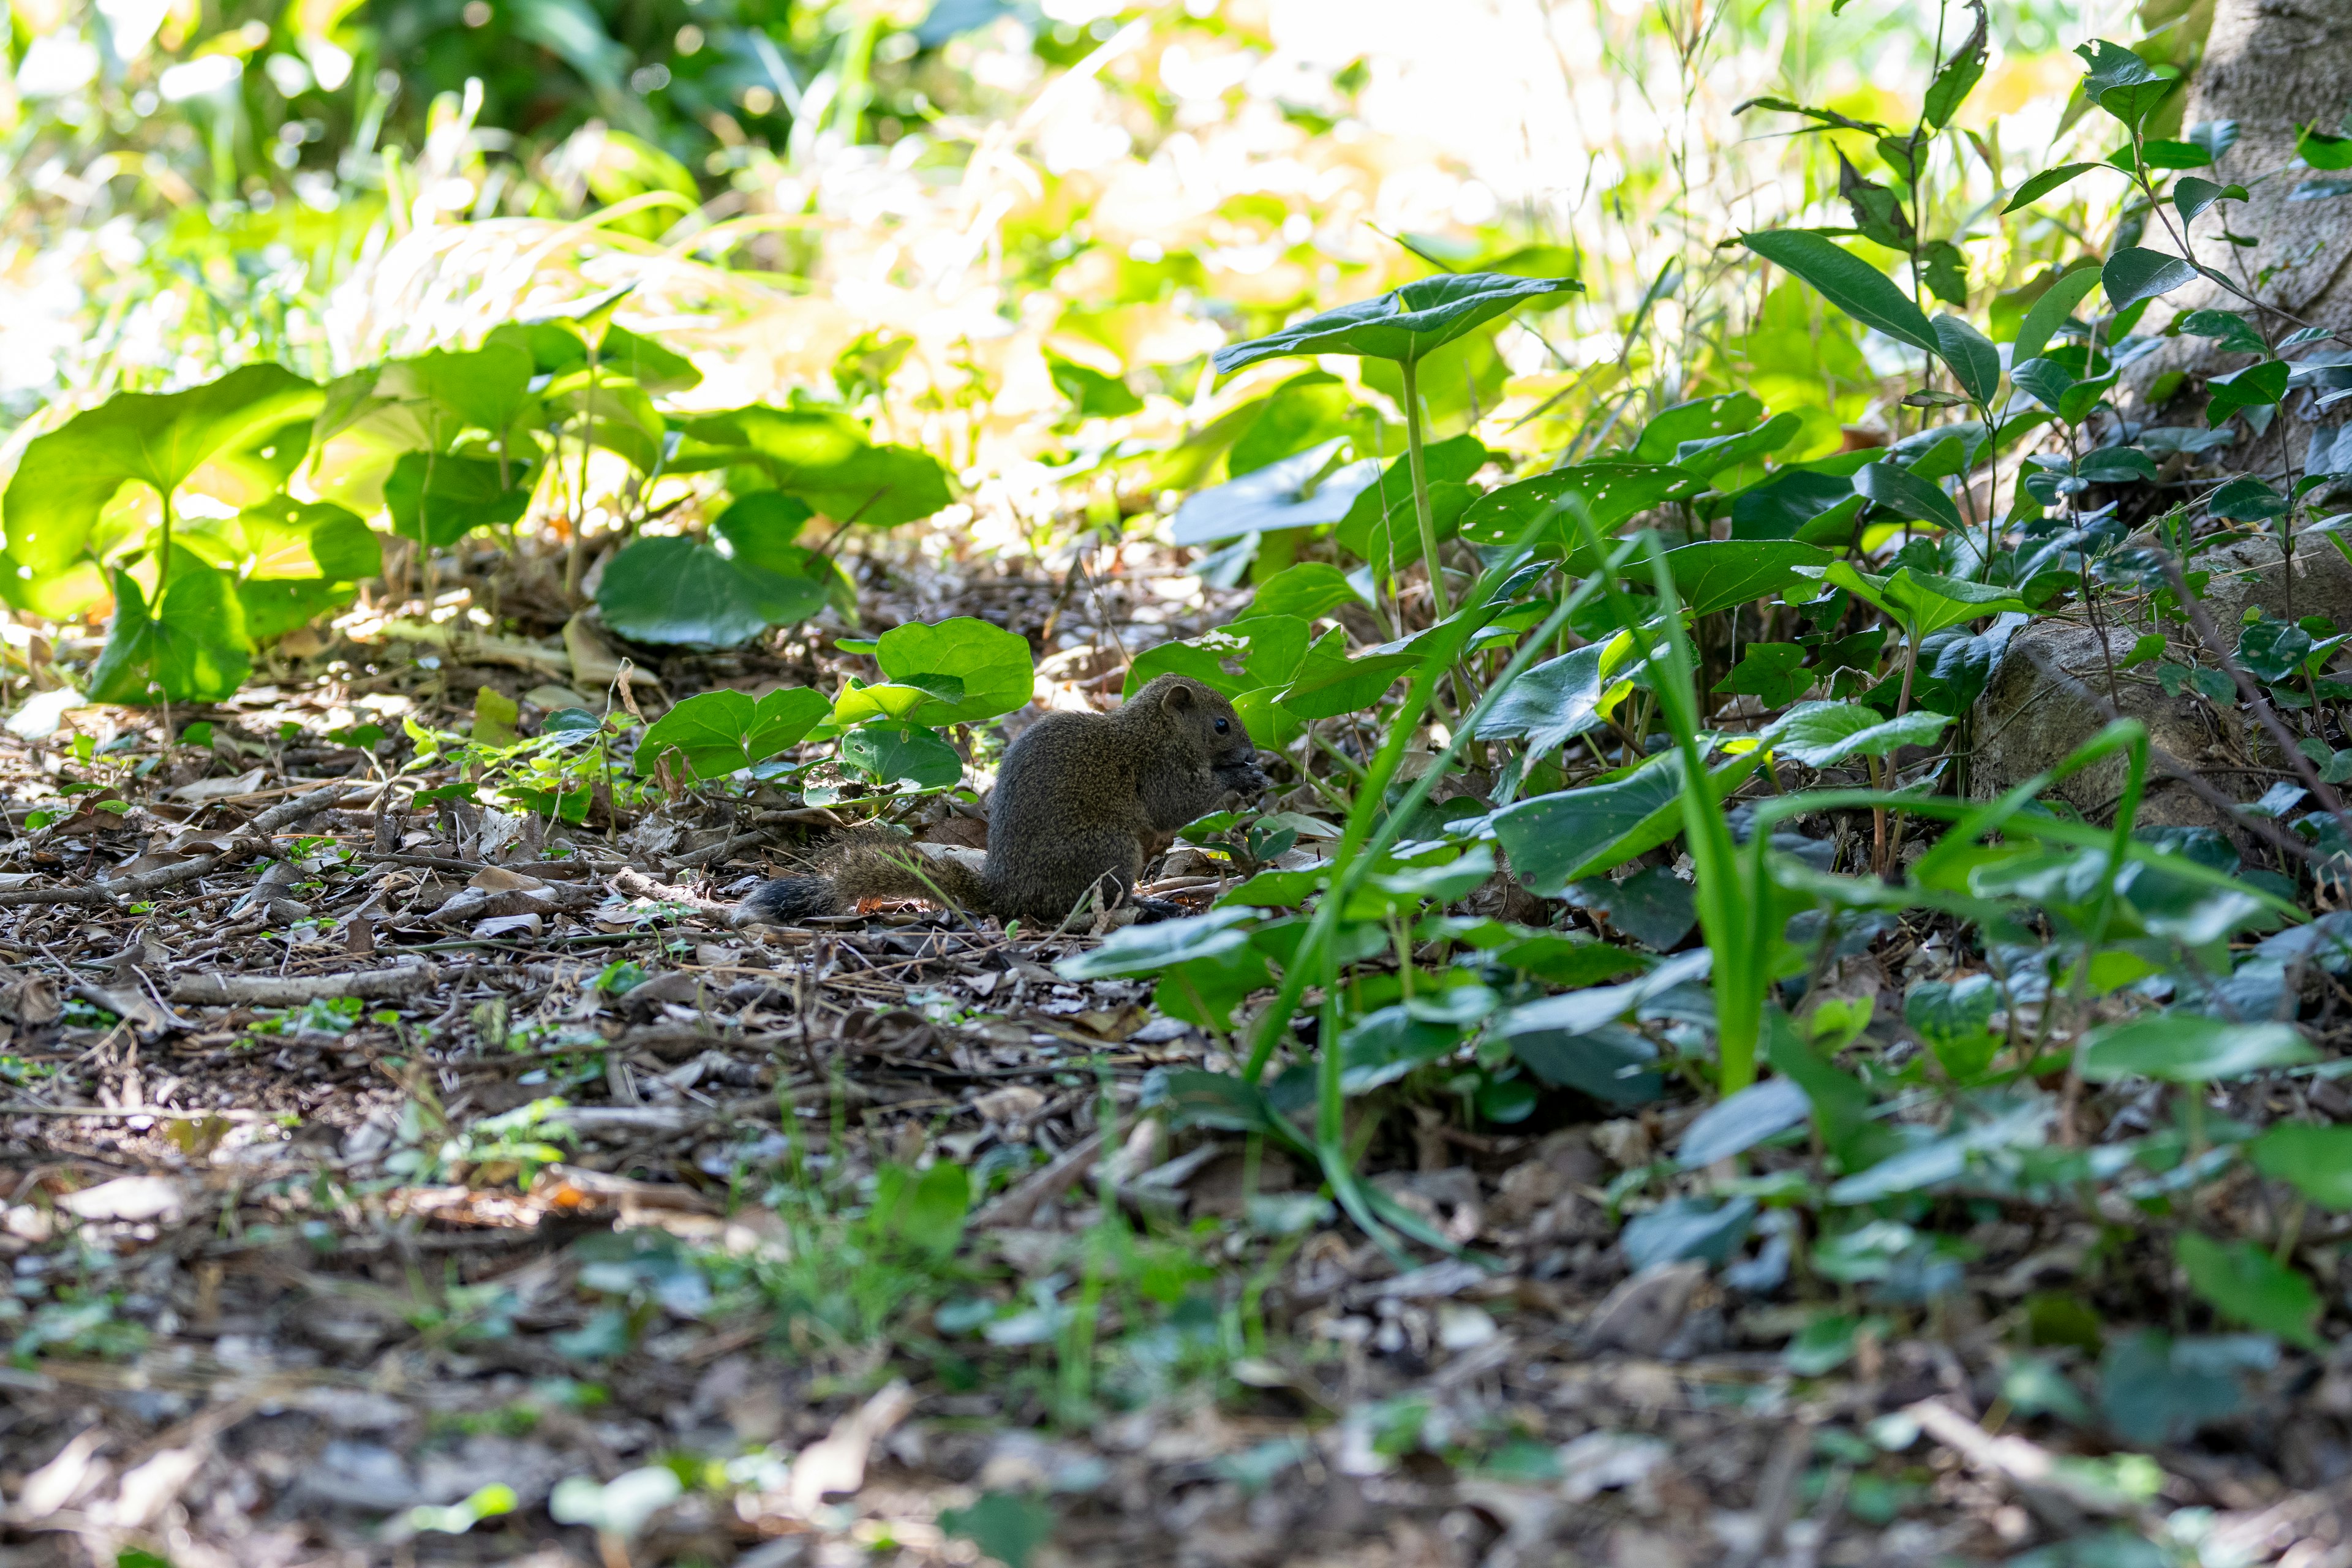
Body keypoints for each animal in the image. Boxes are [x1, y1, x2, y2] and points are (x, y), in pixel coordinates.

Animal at [743, 677, 1279, 930]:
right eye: (1221, 725)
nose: (1253, 754)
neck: (1155, 732)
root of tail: (1010, 893)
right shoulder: (1157, 771)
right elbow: (1178, 804)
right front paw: (1240, 779)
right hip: (1108, 851)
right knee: (1097, 903)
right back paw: (1148, 905)